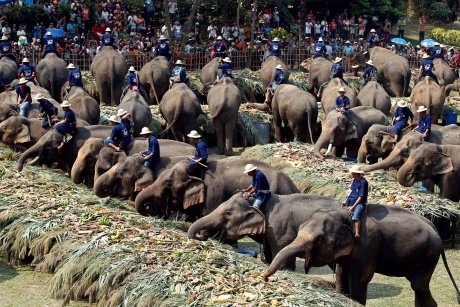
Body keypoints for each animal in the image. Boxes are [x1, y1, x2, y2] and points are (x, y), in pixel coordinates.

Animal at [260, 203, 458, 306]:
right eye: (300, 228)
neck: (347, 217)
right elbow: (341, 273)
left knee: (418, 284)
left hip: (429, 255)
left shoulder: (367, 244)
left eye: (318, 240)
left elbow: (359, 278)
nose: (264, 277)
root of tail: (434, 227)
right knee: (419, 285)